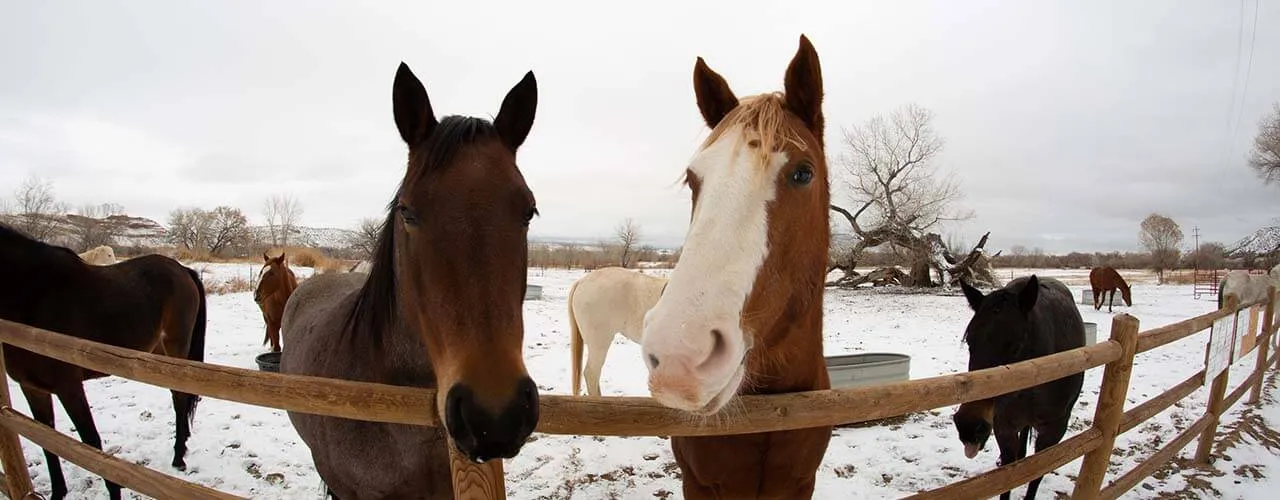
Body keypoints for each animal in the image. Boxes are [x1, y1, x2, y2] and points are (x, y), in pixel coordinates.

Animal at [0, 223, 207, 500]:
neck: (31, 294)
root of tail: (183, 269)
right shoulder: (32, 388)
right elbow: (46, 440)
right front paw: (58, 492)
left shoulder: (69, 386)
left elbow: (92, 443)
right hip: (160, 353)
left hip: (175, 347)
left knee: (179, 397)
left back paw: (179, 456)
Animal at [639, 35, 833, 498]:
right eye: (693, 179)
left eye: (803, 173)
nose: (679, 355)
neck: (772, 411)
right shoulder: (699, 482)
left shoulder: (802, 482)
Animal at [955, 276, 1085, 500]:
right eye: (970, 342)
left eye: (1016, 347)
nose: (968, 426)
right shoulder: (1004, 425)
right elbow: (1008, 472)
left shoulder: (1054, 430)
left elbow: (1037, 473)